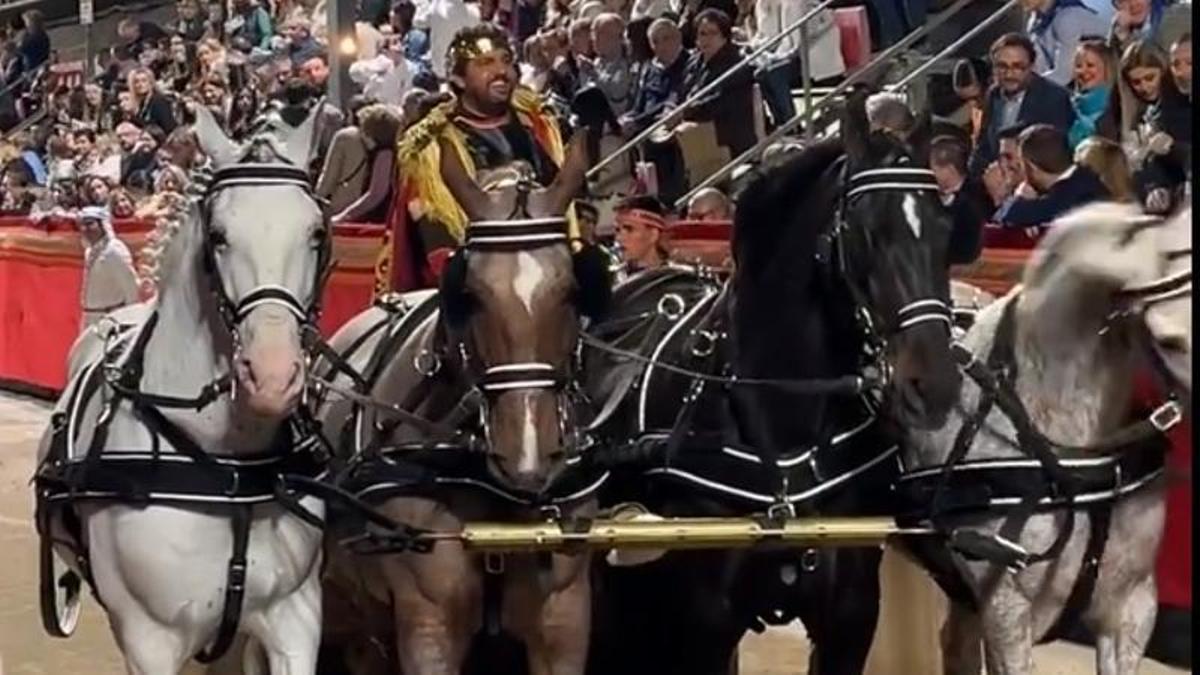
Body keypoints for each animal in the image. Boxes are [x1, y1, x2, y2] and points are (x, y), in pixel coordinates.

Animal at [34, 105, 333, 667]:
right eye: (218, 235)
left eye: (316, 234)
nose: (273, 377)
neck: (228, 466)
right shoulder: (150, 640)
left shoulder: (295, 618)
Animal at [585, 89, 960, 672]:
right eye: (865, 231)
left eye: (946, 230)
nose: (935, 381)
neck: (781, 425)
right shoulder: (706, 621)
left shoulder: (850, 615)